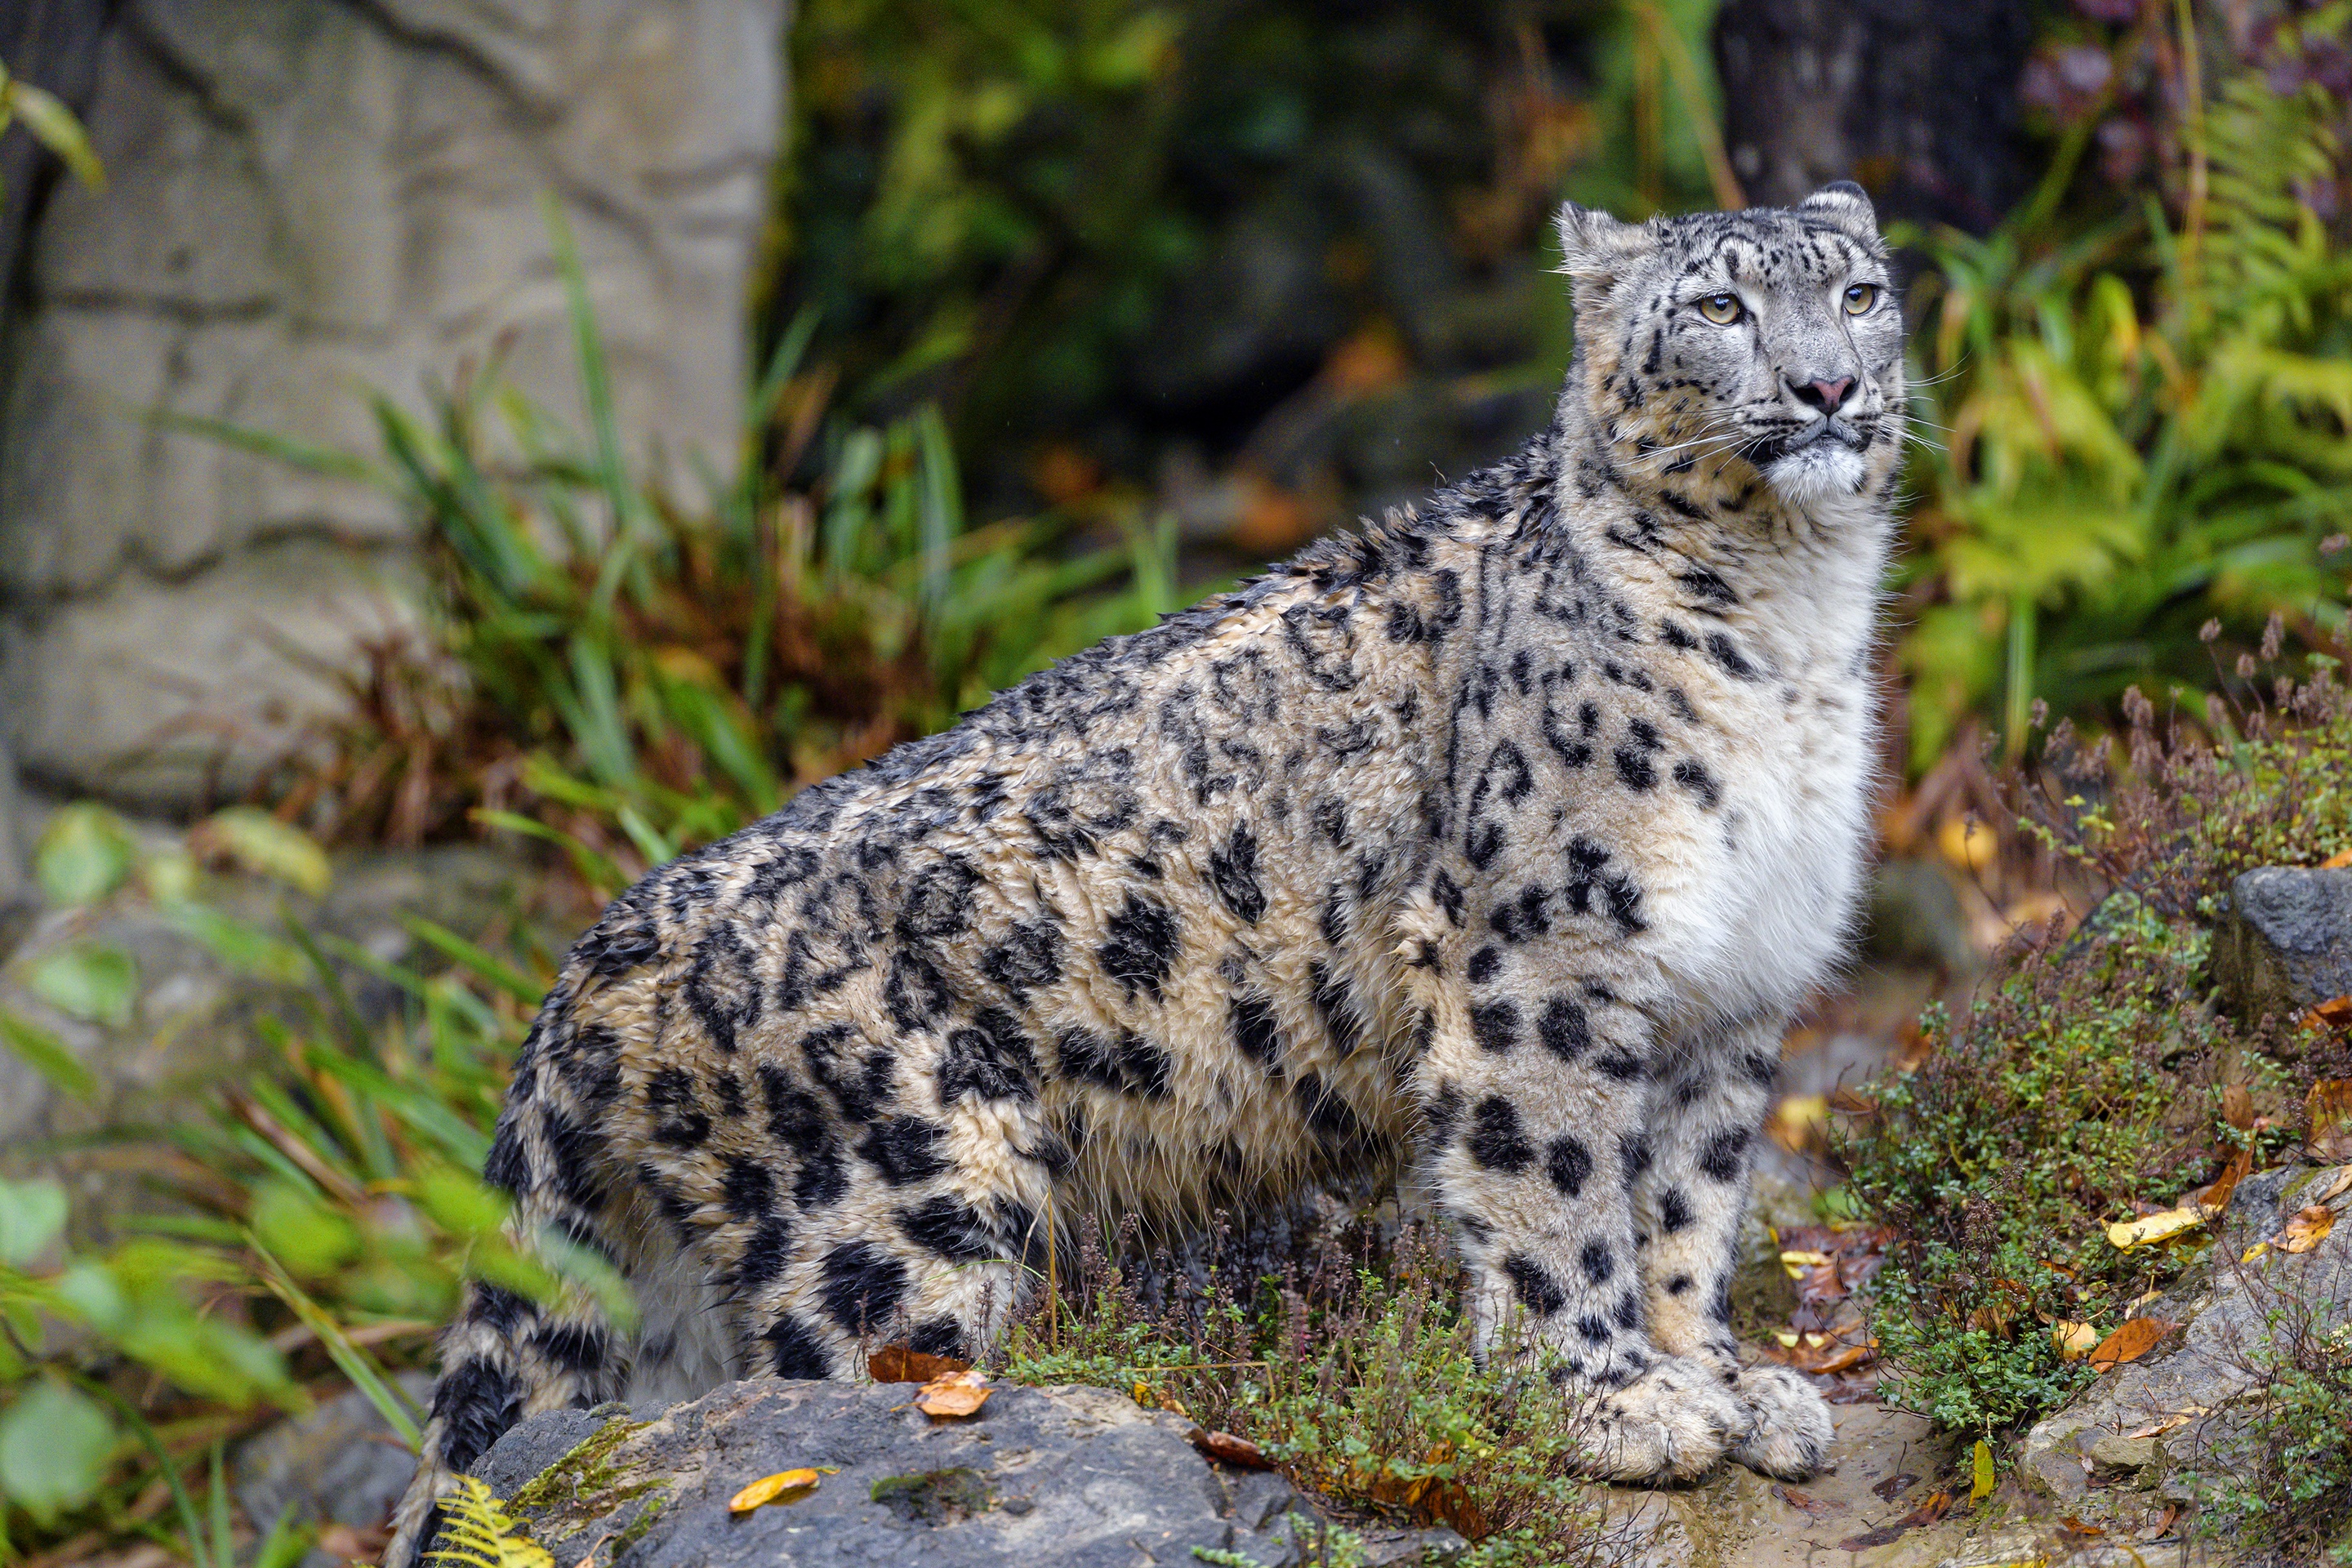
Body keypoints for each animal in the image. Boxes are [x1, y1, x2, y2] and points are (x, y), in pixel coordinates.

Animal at [394, 180, 1900, 1561]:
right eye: (1721, 308)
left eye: (1861, 292)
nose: (1827, 385)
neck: (1792, 632)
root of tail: (595, 958)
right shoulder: (1546, 962)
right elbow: (1557, 1190)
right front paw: (1618, 1407)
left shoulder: (1731, 990)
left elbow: (1688, 1205)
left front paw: (1727, 1382)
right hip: (898, 1212)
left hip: (680, 1290)